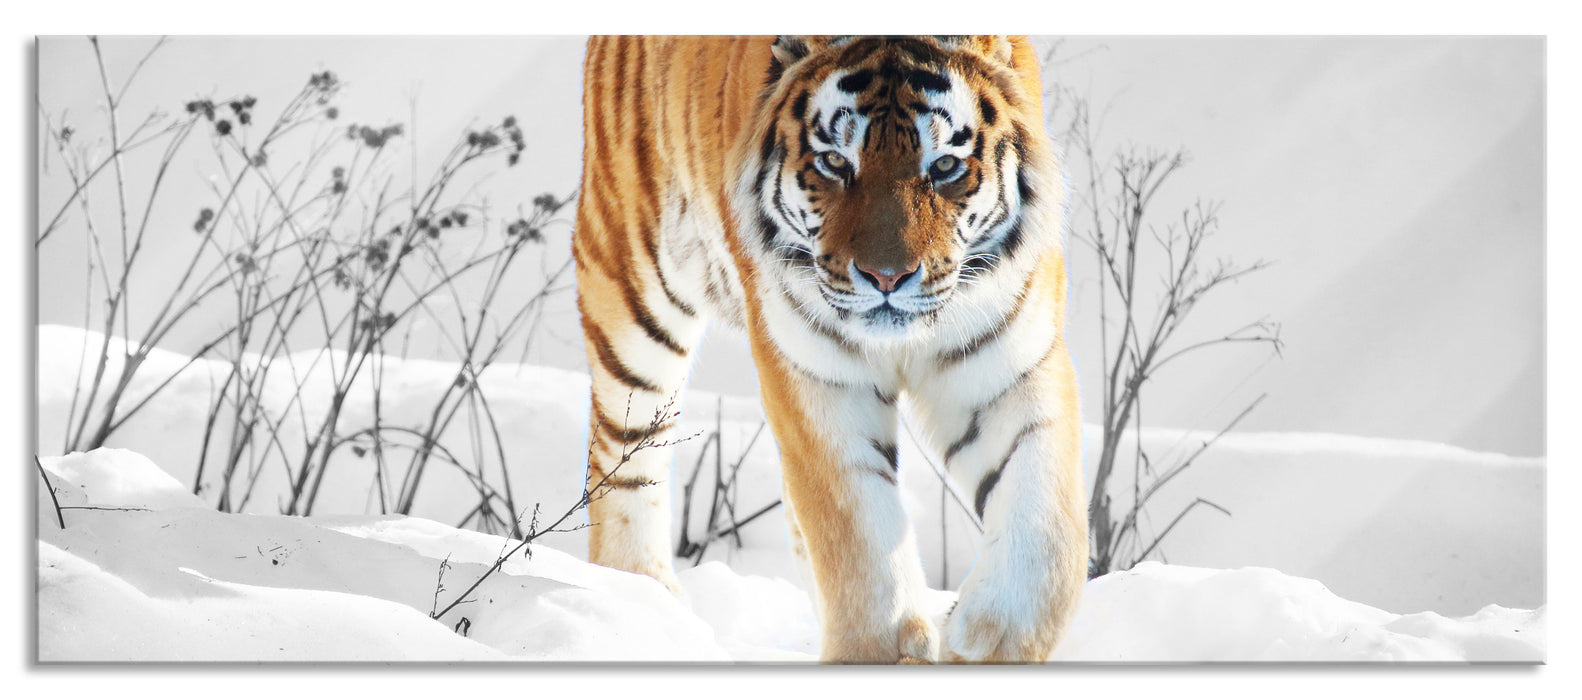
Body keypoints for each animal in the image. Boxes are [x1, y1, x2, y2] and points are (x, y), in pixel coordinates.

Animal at [572, 35, 1087, 664]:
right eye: (836, 164)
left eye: (943, 167)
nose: (887, 277)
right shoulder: (816, 379)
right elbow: (857, 531)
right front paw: (886, 646)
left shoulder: (1008, 367)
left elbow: (1048, 527)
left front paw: (987, 638)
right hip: (633, 286)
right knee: (625, 453)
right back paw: (644, 605)